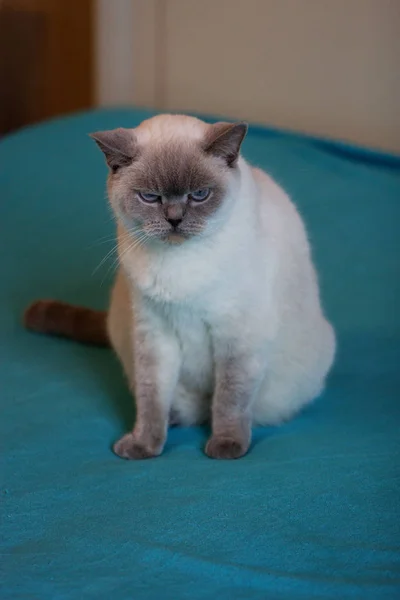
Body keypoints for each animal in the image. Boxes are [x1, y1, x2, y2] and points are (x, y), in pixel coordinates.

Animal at [25, 113, 336, 460]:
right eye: (150, 197)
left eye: (199, 195)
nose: (174, 219)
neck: (178, 267)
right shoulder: (155, 334)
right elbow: (151, 399)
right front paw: (144, 446)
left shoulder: (237, 336)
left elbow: (229, 399)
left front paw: (226, 447)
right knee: (175, 406)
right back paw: (174, 419)